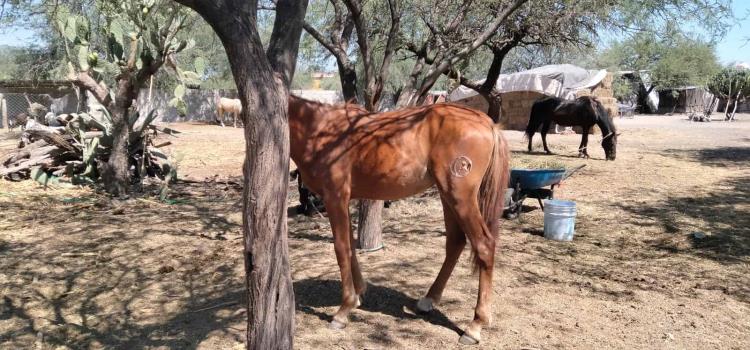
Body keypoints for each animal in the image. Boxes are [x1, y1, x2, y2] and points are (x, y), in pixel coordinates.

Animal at [288, 95, 512, 344]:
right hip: (448, 196)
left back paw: (475, 326)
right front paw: (359, 293)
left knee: (484, 246)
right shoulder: (344, 201)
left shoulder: (334, 198)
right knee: (455, 242)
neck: (320, 130)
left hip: (461, 197)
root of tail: (486, 122)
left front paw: (344, 309)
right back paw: (428, 300)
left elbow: (341, 248)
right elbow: (351, 248)